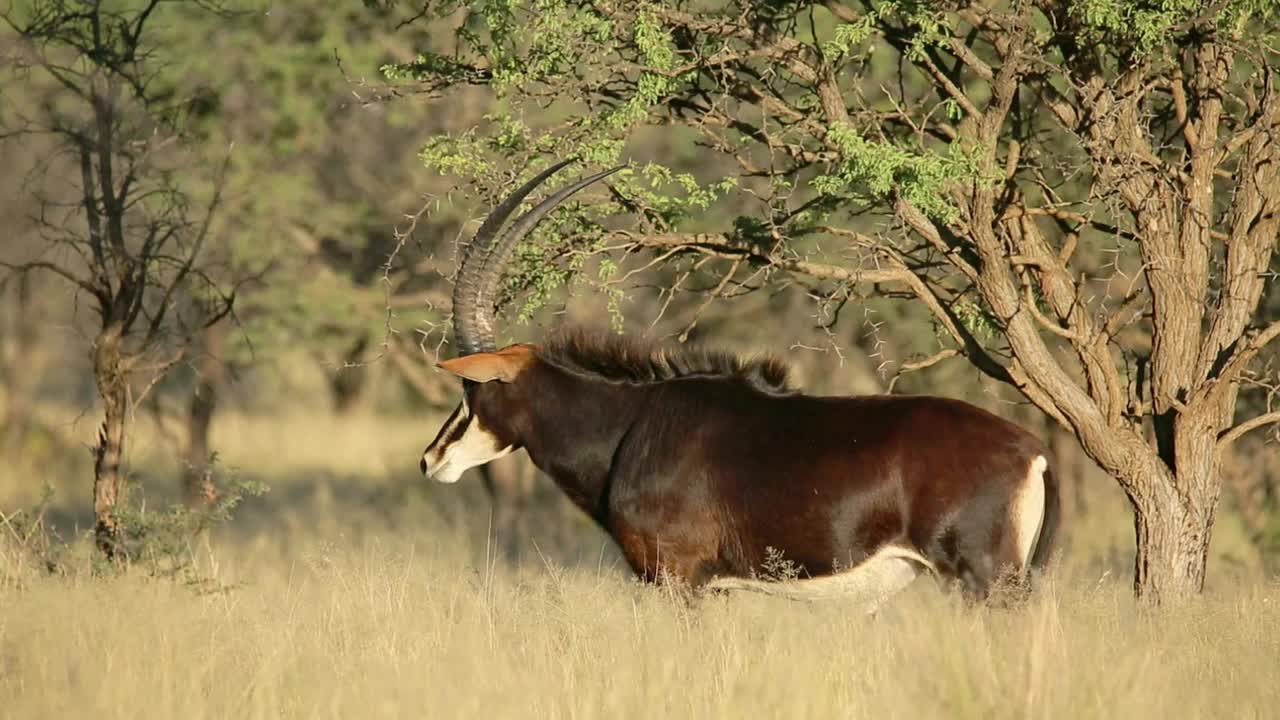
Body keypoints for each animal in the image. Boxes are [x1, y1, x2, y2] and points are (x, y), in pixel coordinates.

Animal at [419, 156, 1059, 604]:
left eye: (473, 389)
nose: (430, 460)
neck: (629, 424)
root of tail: (1033, 451)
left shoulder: (678, 579)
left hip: (984, 579)